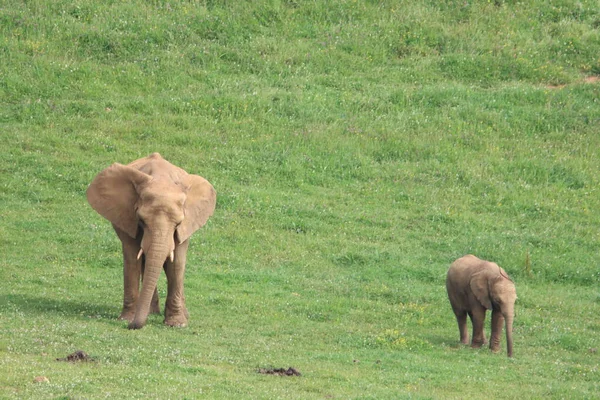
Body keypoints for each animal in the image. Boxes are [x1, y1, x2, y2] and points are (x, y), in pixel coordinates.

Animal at [84, 152, 216, 330]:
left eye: (178, 223)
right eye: (141, 221)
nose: (131, 326)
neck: (161, 179)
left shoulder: (186, 225)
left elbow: (177, 262)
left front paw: (178, 324)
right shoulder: (127, 217)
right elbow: (132, 258)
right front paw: (126, 319)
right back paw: (151, 312)